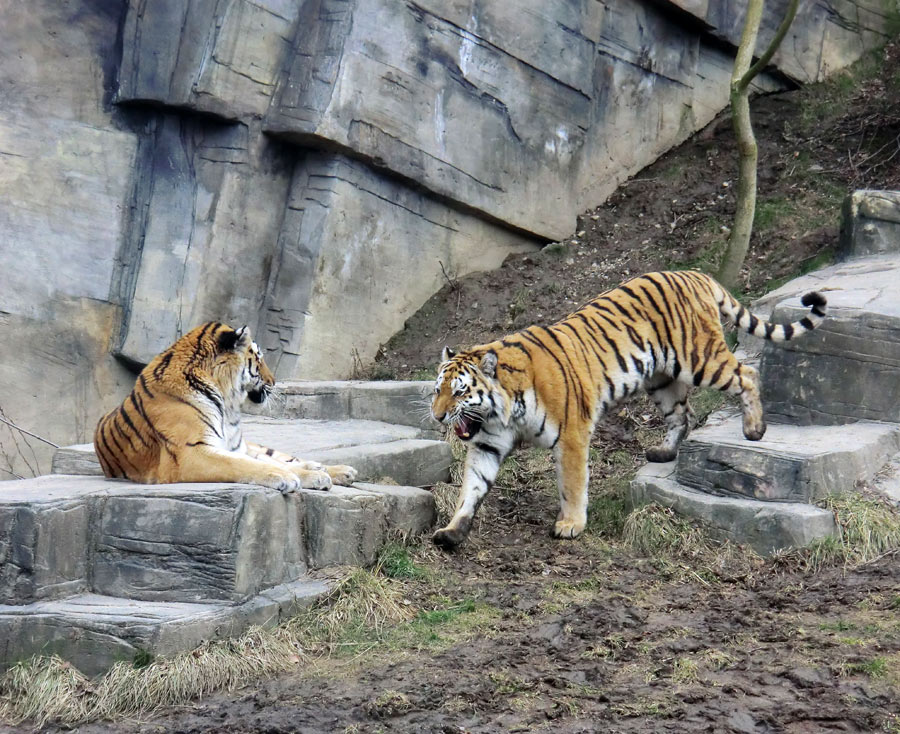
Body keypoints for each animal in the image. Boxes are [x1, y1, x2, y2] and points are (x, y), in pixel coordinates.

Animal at [93, 324, 356, 492]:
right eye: (258, 358)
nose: (274, 382)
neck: (227, 406)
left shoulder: (235, 447)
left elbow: (269, 462)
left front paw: (315, 475)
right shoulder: (190, 453)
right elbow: (244, 465)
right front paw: (287, 478)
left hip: (255, 446)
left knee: (285, 457)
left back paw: (340, 470)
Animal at [432, 274, 828, 548]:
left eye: (460, 392)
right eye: (437, 391)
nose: (437, 417)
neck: (502, 410)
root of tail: (695, 274)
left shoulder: (572, 435)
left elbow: (572, 484)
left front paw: (570, 524)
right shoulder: (487, 444)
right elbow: (471, 488)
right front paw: (452, 531)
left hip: (700, 359)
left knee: (747, 374)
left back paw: (755, 429)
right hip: (662, 380)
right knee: (682, 413)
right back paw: (665, 451)